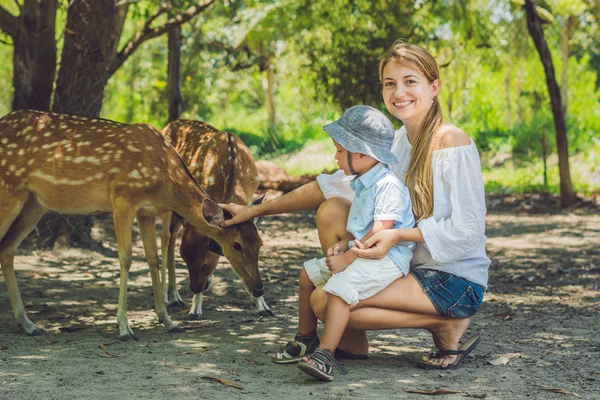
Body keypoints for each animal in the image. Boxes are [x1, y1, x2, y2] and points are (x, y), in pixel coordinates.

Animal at [1, 108, 260, 338]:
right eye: (235, 245)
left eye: (259, 243)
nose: (259, 287)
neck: (165, 180)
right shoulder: (123, 198)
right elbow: (126, 258)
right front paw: (125, 328)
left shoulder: (147, 211)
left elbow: (153, 258)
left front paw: (168, 321)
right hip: (10, 190)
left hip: (34, 202)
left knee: (7, 248)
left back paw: (29, 325)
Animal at [159, 120, 272, 320]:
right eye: (185, 258)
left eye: (260, 243)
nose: (259, 289)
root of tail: (169, 124)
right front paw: (195, 310)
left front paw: (263, 306)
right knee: (166, 238)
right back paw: (169, 297)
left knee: (172, 235)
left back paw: (176, 296)